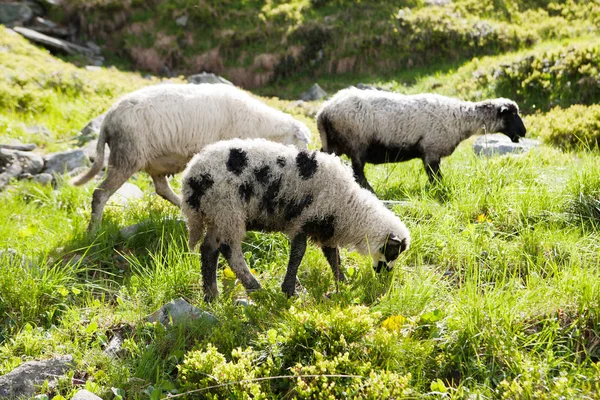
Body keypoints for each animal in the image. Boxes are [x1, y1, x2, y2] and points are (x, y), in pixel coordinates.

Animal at [72, 83, 312, 230]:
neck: (261, 127)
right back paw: (93, 231)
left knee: (161, 188)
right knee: (100, 194)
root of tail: (108, 118)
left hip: (153, 161)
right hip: (127, 156)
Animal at [180, 138, 410, 300]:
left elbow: (332, 256)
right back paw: (254, 288)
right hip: (227, 210)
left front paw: (342, 282)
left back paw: (211, 295)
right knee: (230, 251)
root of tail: (191, 177)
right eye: (394, 251)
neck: (350, 208)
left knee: (209, 249)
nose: (384, 274)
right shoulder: (305, 219)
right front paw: (289, 291)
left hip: (217, 214)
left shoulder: (325, 225)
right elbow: (299, 252)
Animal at [316, 87, 528, 192]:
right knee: (358, 172)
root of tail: (324, 111)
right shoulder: (431, 150)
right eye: (512, 115)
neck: (460, 119)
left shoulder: (431, 153)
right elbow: (435, 176)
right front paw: (439, 189)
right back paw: (370, 190)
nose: (524, 132)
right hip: (356, 142)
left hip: (335, 144)